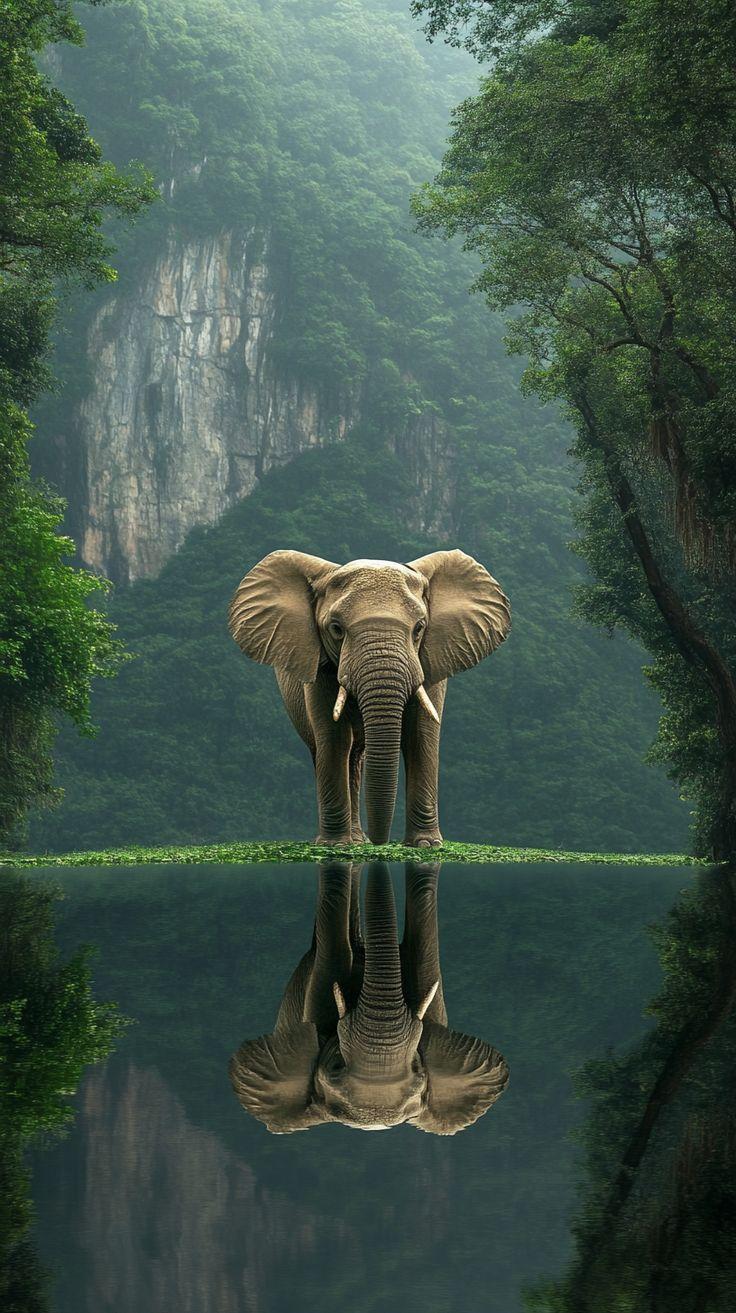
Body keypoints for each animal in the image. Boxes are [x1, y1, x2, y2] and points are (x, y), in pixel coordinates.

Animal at [228, 550, 510, 846]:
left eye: (419, 628)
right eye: (336, 628)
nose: (380, 842)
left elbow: (421, 733)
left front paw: (425, 845)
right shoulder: (320, 666)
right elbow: (333, 736)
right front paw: (334, 846)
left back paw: (358, 839)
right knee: (334, 750)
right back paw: (349, 840)